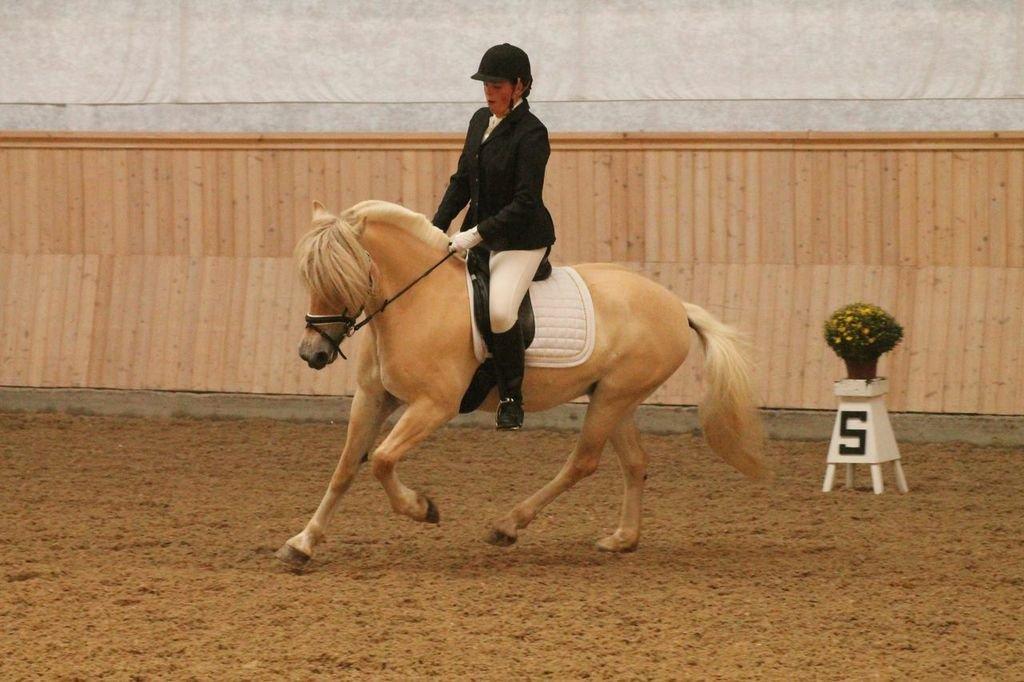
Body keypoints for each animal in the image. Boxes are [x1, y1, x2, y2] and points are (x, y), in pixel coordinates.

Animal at [274, 199, 770, 565]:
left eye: (340, 278)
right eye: (311, 278)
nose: (311, 354)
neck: (417, 300)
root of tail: (675, 305)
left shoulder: (434, 405)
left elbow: (380, 460)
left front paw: (423, 509)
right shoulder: (374, 398)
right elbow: (346, 467)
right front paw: (302, 543)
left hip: (613, 397)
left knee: (583, 462)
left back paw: (507, 525)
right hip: (617, 398)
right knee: (634, 462)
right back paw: (623, 539)